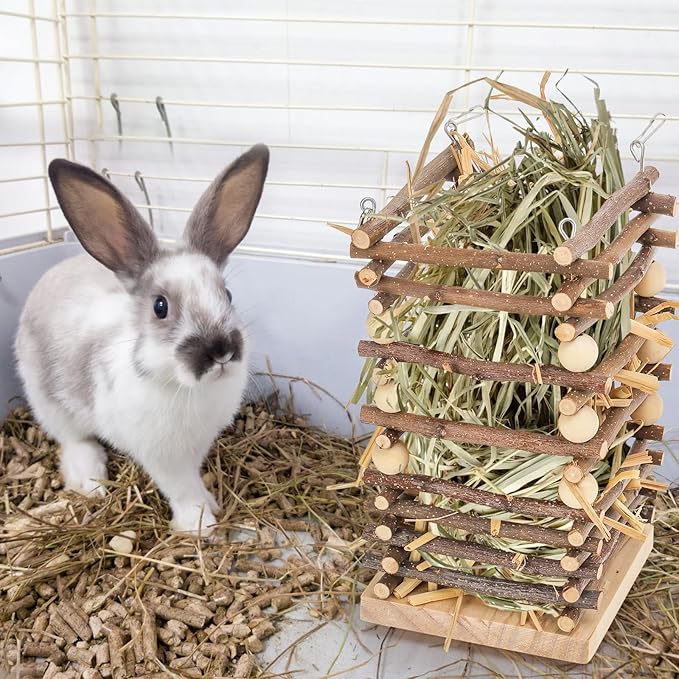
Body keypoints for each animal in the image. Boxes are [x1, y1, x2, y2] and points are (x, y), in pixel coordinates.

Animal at [14, 144, 269, 535]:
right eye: (160, 307)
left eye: (227, 294)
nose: (221, 351)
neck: (182, 385)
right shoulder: (163, 458)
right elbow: (181, 489)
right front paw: (199, 525)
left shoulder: (195, 449)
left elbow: (194, 480)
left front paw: (210, 502)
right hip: (48, 401)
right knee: (73, 439)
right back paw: (90, 479)